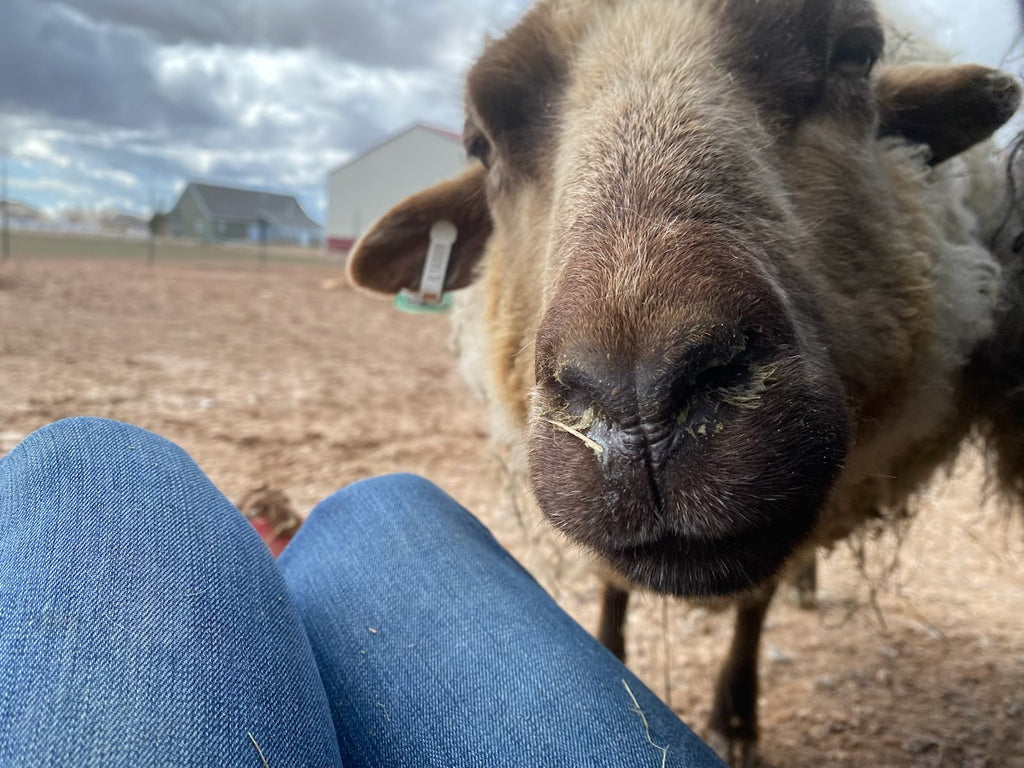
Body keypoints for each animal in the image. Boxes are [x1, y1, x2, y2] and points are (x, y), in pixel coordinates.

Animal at [347, 0, 1023, 764]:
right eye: (480, 143)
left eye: (854, 55)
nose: (639, 401)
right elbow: (612, 589)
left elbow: (756, 602)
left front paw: (735, 724)